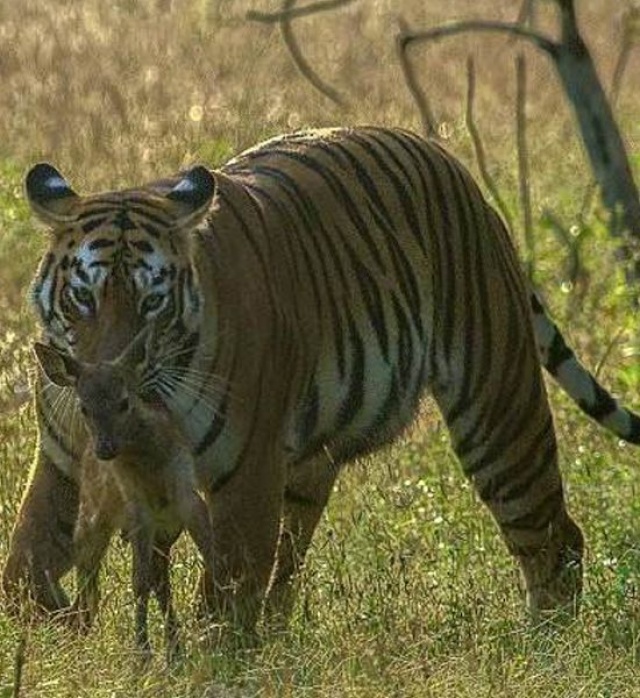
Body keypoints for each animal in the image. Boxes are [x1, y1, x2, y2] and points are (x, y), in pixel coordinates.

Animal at [5, 126, 640, 624]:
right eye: (83, 296)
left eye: (152, 302)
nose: (105, 382)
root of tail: (456, 170)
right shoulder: (62, 461)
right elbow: (26, 567)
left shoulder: (247, 471)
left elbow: (226, 592)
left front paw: (214, 663)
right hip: (311, 464)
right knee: (286, 572)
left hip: (496, 407)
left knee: (555, 538)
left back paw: (545, 648)